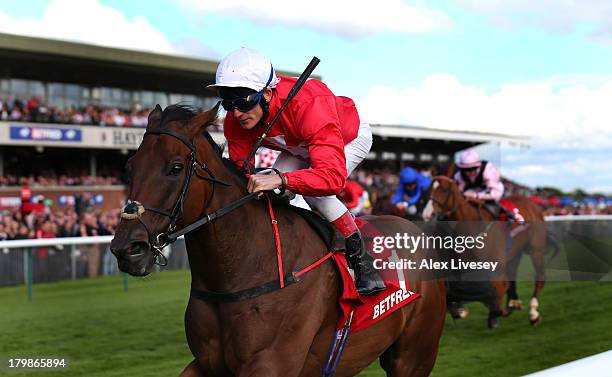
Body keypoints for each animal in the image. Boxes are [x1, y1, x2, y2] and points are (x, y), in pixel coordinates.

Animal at [110, 103, 444, 376]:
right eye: (129, 167)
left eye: (175, 168)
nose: (127, 249)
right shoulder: (206, 364)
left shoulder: (270, 363)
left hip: (414, 355)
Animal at [424, 176, 548, 326]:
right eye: (428, 190)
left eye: (444, 189)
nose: (428, 214)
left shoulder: (496, 268)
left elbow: (497, 290)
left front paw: (497, 313)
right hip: (515, 253)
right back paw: (513, 302)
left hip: (536, 249)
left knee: (539, 277)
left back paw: (533, 313)